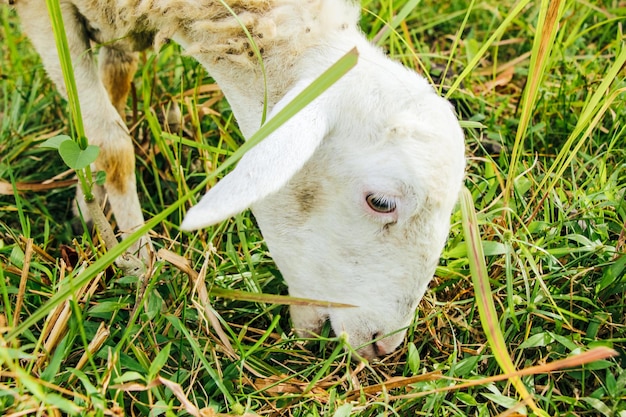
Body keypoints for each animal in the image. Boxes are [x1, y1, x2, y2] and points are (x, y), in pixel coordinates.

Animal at [11, 0, 464, 358]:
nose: (385, 345)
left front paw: (90, 209)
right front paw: (138, 262)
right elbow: (110, 142)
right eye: (381, 203)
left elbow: (112, 92)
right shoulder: (46, 13)